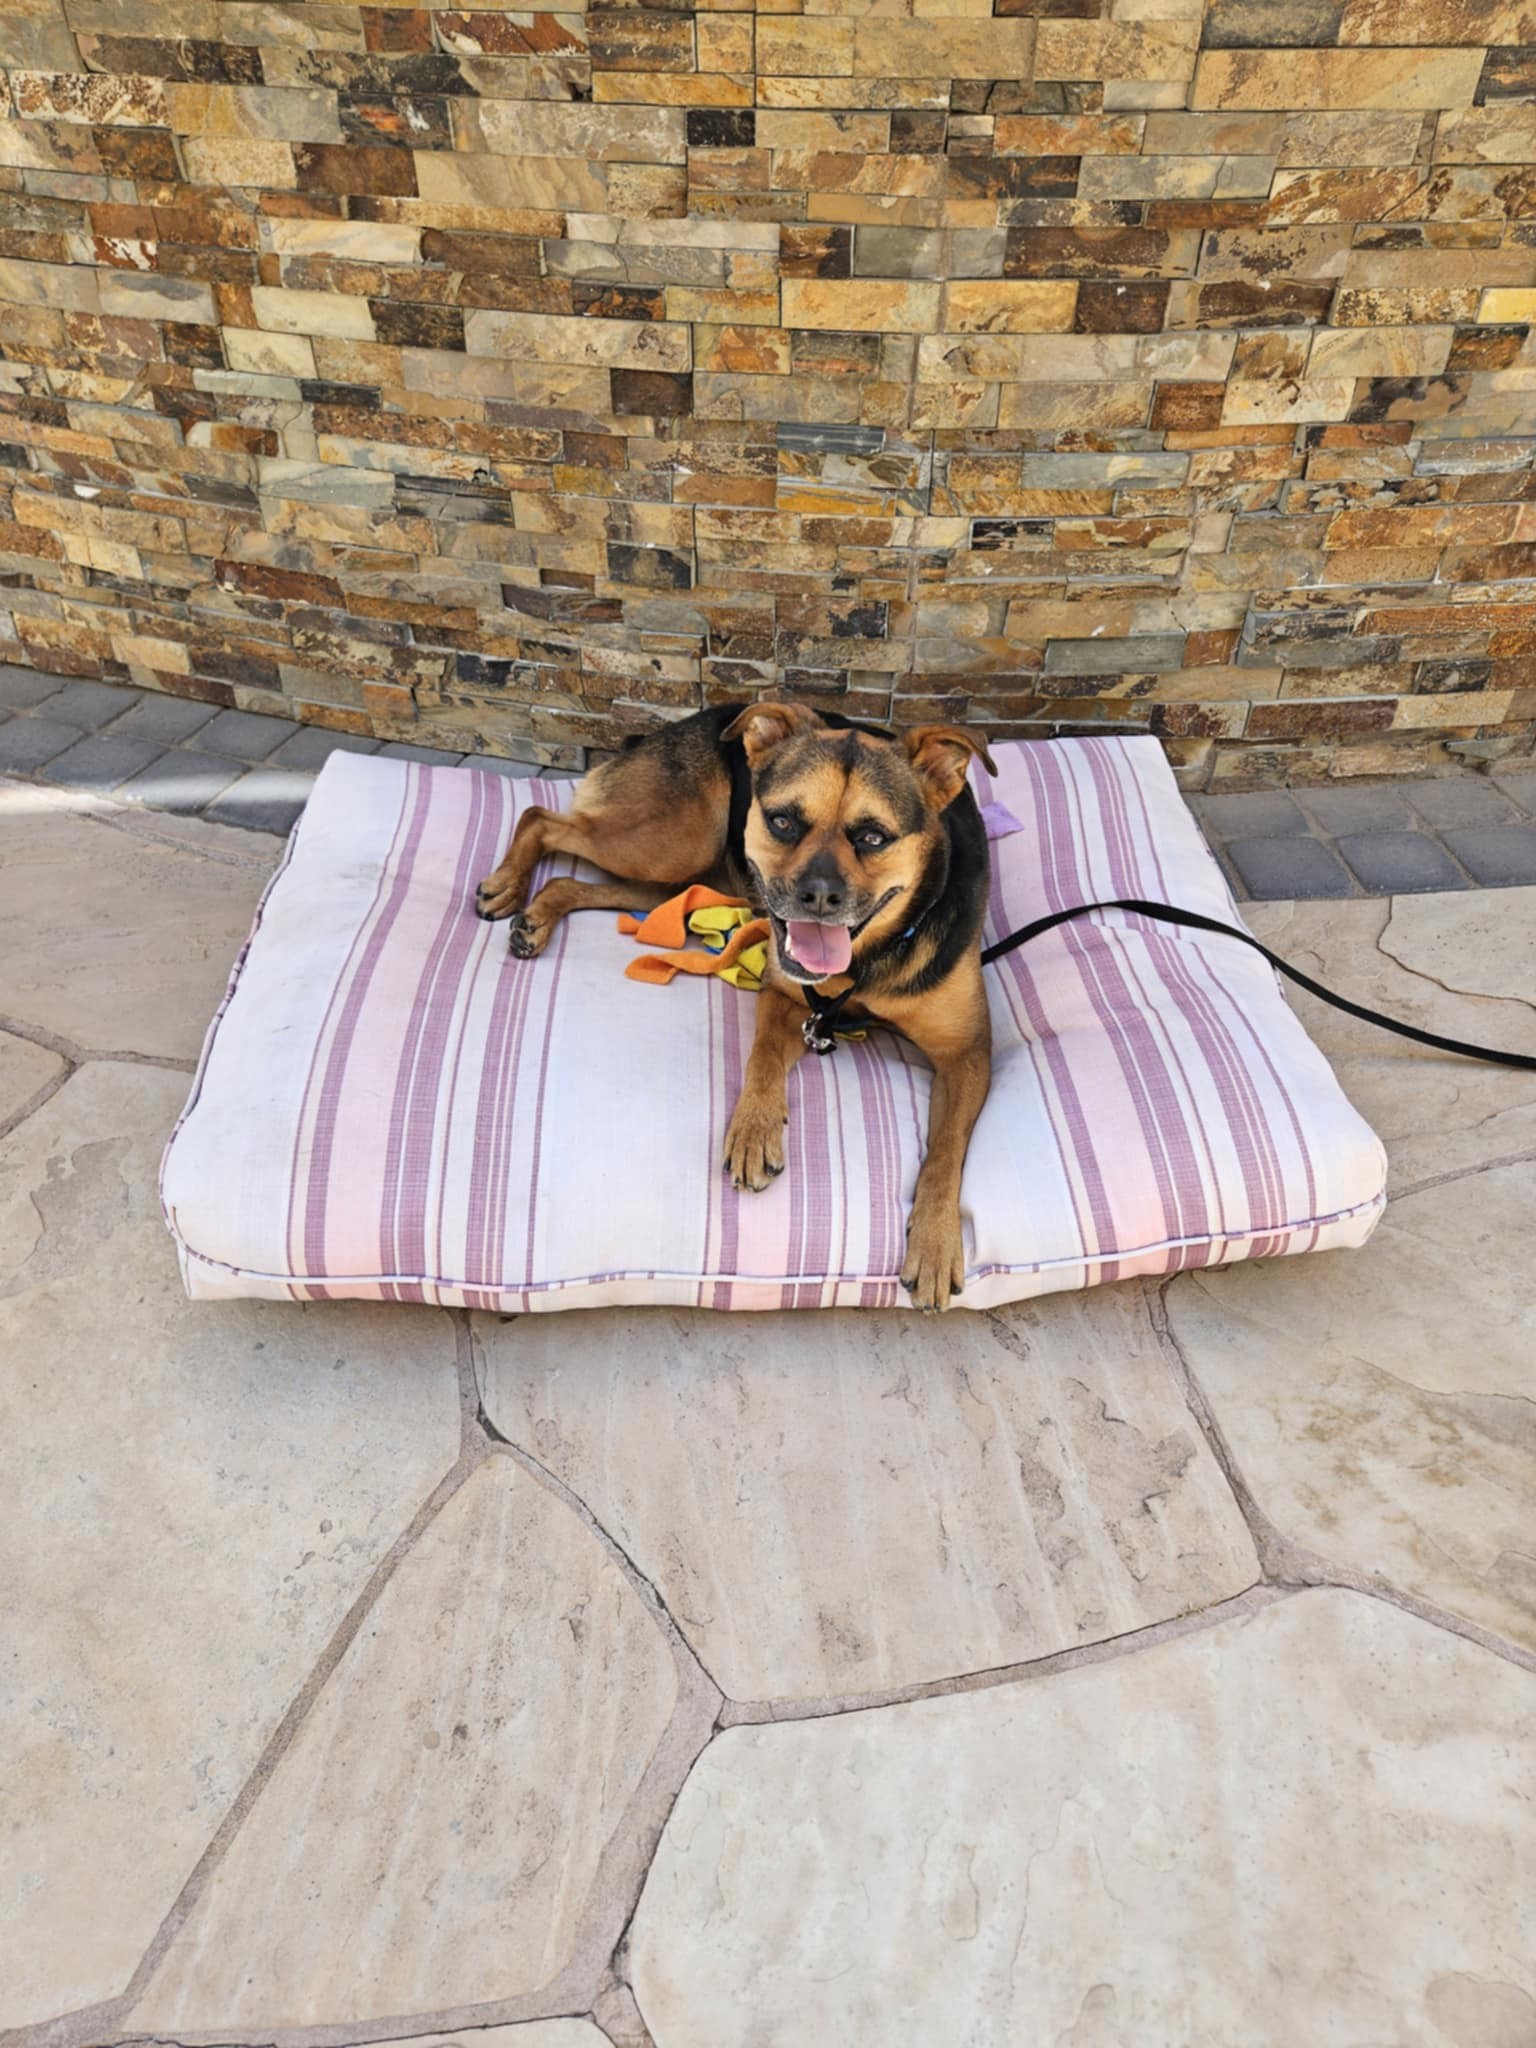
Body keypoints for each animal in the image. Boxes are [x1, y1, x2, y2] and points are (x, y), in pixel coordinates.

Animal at [479, 704, 999, 1310]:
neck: (869, 960)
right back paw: (507, 883)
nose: (817, 899)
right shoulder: (782, 995)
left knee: (566, 876)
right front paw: (753, 1130)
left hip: (680, 877)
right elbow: (762, 1058)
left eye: (873, 836)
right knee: (541, 817)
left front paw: (936, 1242)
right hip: (674, 846)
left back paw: (536, 916)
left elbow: (946, 1150)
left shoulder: (968, 1054)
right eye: (782, 822)